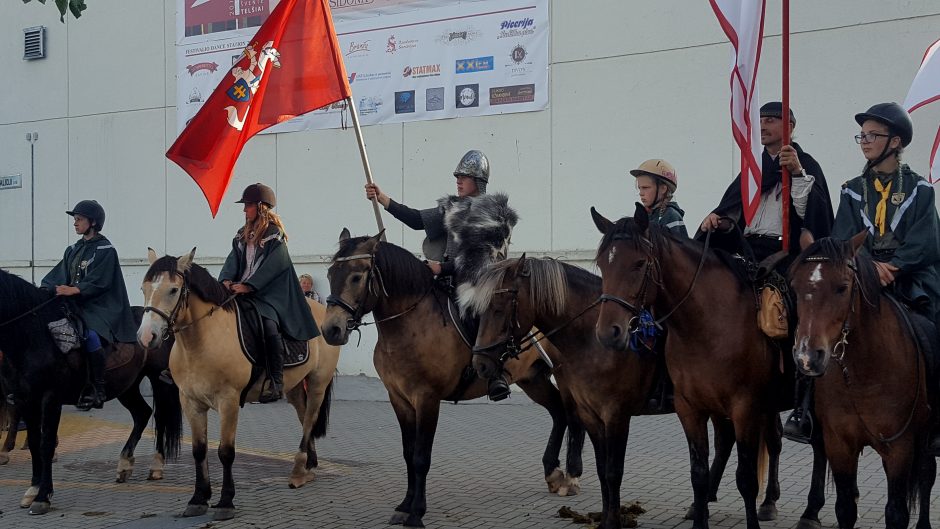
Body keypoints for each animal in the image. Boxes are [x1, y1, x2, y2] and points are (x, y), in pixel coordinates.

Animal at [0, 268, 185, 512]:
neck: (32, 338)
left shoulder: (50, 399)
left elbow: (45, 444)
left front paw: (43, 496)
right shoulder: (25, 400)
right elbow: (33, 443)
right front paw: (33, 488)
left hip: (158, 380)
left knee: (161, 418)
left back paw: (156, 466)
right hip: (126, 387)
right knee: (142, 414)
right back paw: (124, 464)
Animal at [136, 249, 342, 520]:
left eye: (173, 290)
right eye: (144, 288)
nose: (146, 337)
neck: (202, 341)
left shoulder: (229, 402)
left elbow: (226, 452)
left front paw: (225, 502)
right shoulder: (190, 402)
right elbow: (199, 450)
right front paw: (198, 498)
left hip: (318, 382)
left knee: (309, 419)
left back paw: (298, 471)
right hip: (296, 386)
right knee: (302, 414)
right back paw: (308, 465)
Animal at [324, 231, 588, 528]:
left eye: (357, 276)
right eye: (330, 273)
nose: (331, 330)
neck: (410, 324)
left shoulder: (427, 399)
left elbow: (420, 457)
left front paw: (416, 512)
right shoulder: (399, 399)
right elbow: (408, 453)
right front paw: (405, 505)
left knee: (572, 416)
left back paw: (572, 474)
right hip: (533, 379)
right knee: (559, 413)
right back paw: (553, 472)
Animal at [592, 205, 828, 528]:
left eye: (639, 263)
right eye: (602, 264)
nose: (608, 333)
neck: (707, 324)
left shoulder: (744, 408)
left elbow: (746, 479)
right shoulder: (690, 408)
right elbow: (699, 474)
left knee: (819, 446)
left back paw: (811, 512)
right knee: (776, 440)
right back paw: (770, 503)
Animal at [788, 232, 936, 528]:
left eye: (842, 288)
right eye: (795, 287)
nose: (807, 357)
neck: (862, 376)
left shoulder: (899, 448)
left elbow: (896, 513)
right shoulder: (839, 445)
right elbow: (845, 508)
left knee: (927, 473)